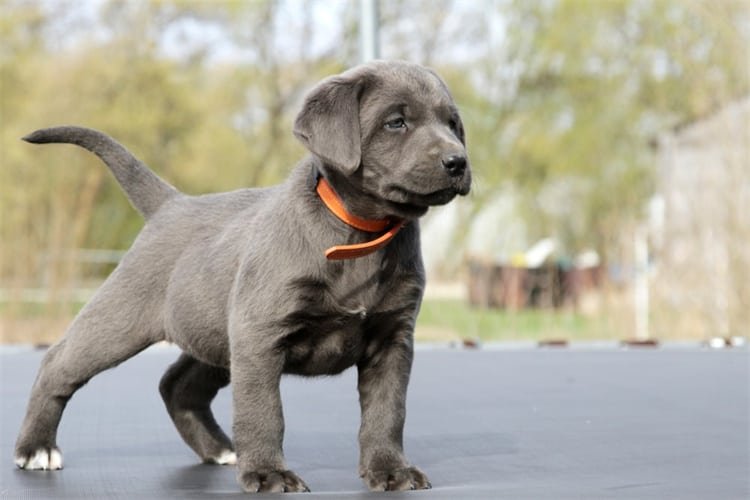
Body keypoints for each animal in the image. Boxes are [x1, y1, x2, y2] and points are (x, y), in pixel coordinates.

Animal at [14, 60, 472, 494]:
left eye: (452, 124)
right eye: (396, 122)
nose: (458, 161)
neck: (360, 233)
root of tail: (171, 204)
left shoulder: (392, 339)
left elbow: (386, 412)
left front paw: (391, 470)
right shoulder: (260, 335)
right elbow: (263, 412)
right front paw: (269, 474)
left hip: (216, 334)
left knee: (177, 385)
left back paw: (218, 449)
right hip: (123, 319)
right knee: (58, 364)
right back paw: (36, 448)